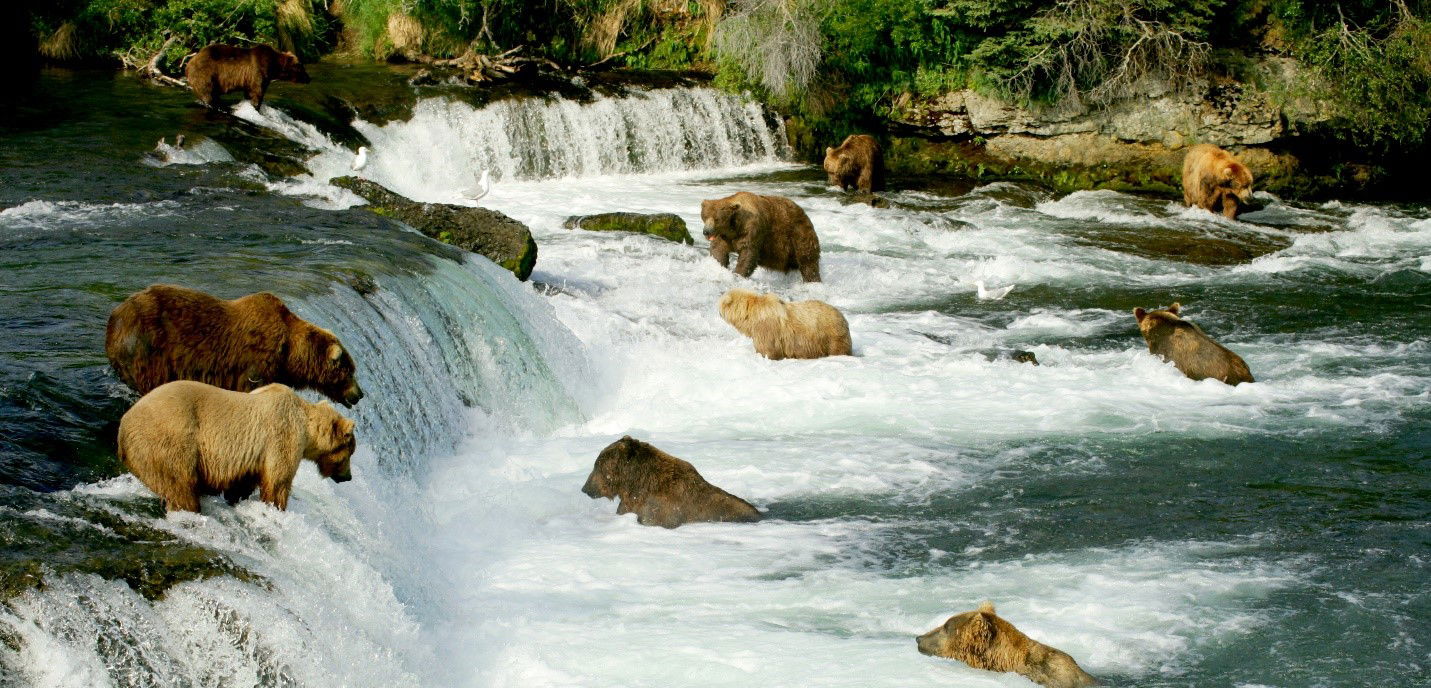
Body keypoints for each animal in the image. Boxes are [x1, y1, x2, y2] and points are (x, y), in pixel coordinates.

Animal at [106, 283, 363, 406]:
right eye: (349, 371)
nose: (359, 394)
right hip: (150, 348)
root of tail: (116, 315)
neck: (289, 353)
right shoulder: (255, 362)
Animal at [117, 377, 357, 512]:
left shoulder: (253, 456)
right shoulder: (282, 435)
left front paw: (236, 498)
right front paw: (276, 507)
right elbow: (278, 481)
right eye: (350, 453)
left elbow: (244, 482)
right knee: (180, 484)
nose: (348, 477)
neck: (306, 426)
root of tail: (123, 427)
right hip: (170, 439)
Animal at [715, 287, 847, 359]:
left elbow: (768, 348)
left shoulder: (766, 327)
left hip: (830, 335)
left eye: (720, 305)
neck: (750, 315)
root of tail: (842, 316)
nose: (718, 313)